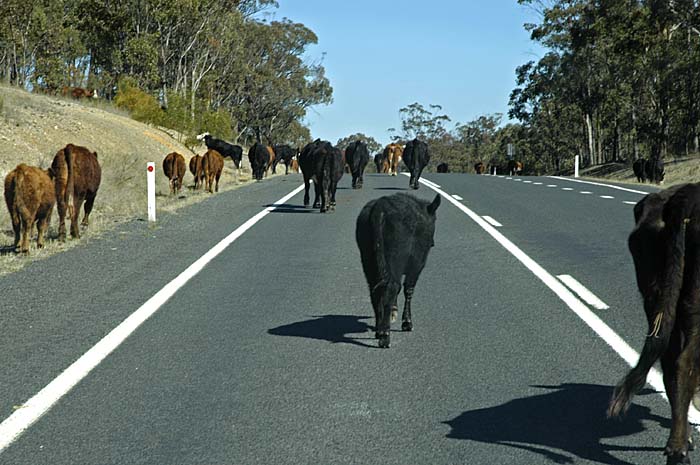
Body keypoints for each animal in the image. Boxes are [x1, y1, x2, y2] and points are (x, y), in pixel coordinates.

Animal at [355, 193, 441, 348]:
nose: (432, 243)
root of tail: (380, 207)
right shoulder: (417, 265)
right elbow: (408, 290)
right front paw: (407, 323)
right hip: (394, 260)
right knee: (392, 287)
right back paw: (384, 336)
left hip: (368, 260)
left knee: (376, 290)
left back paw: (379, 329)